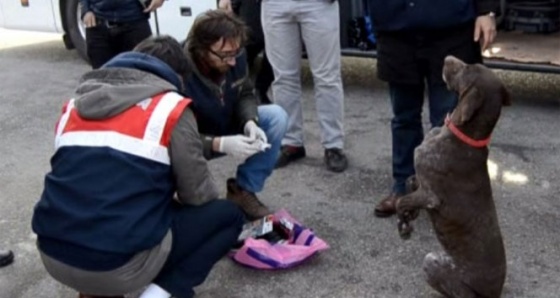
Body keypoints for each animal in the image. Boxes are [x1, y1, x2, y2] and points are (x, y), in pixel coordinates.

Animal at [396, 56, 510, 298]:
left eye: (467, 68)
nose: (447, 57)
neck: (463, 136)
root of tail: (495, 292)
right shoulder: (421, 184)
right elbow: (409, 184)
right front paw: (409, 215)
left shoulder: (430, 195)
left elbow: (402, 201)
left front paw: (403, 224)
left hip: (432, 262)